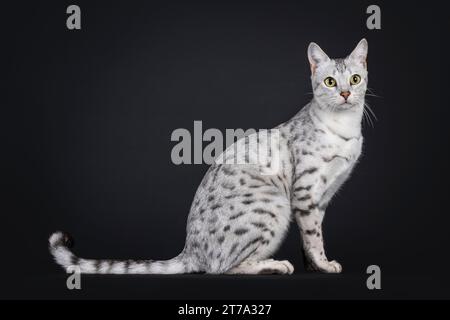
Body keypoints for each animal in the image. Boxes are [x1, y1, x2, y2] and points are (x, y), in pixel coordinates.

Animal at [50, 38, 370, 276]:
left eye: (355, 79)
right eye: (329, 82)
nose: (345, 93)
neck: (347, 128)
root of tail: (189, 251)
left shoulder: (323, 197)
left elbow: (309, 238)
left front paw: (314, 267)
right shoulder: (306, 193)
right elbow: (314, 237)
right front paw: (324, 265)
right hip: (274, 205)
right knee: (223, 267)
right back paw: (274, 265)